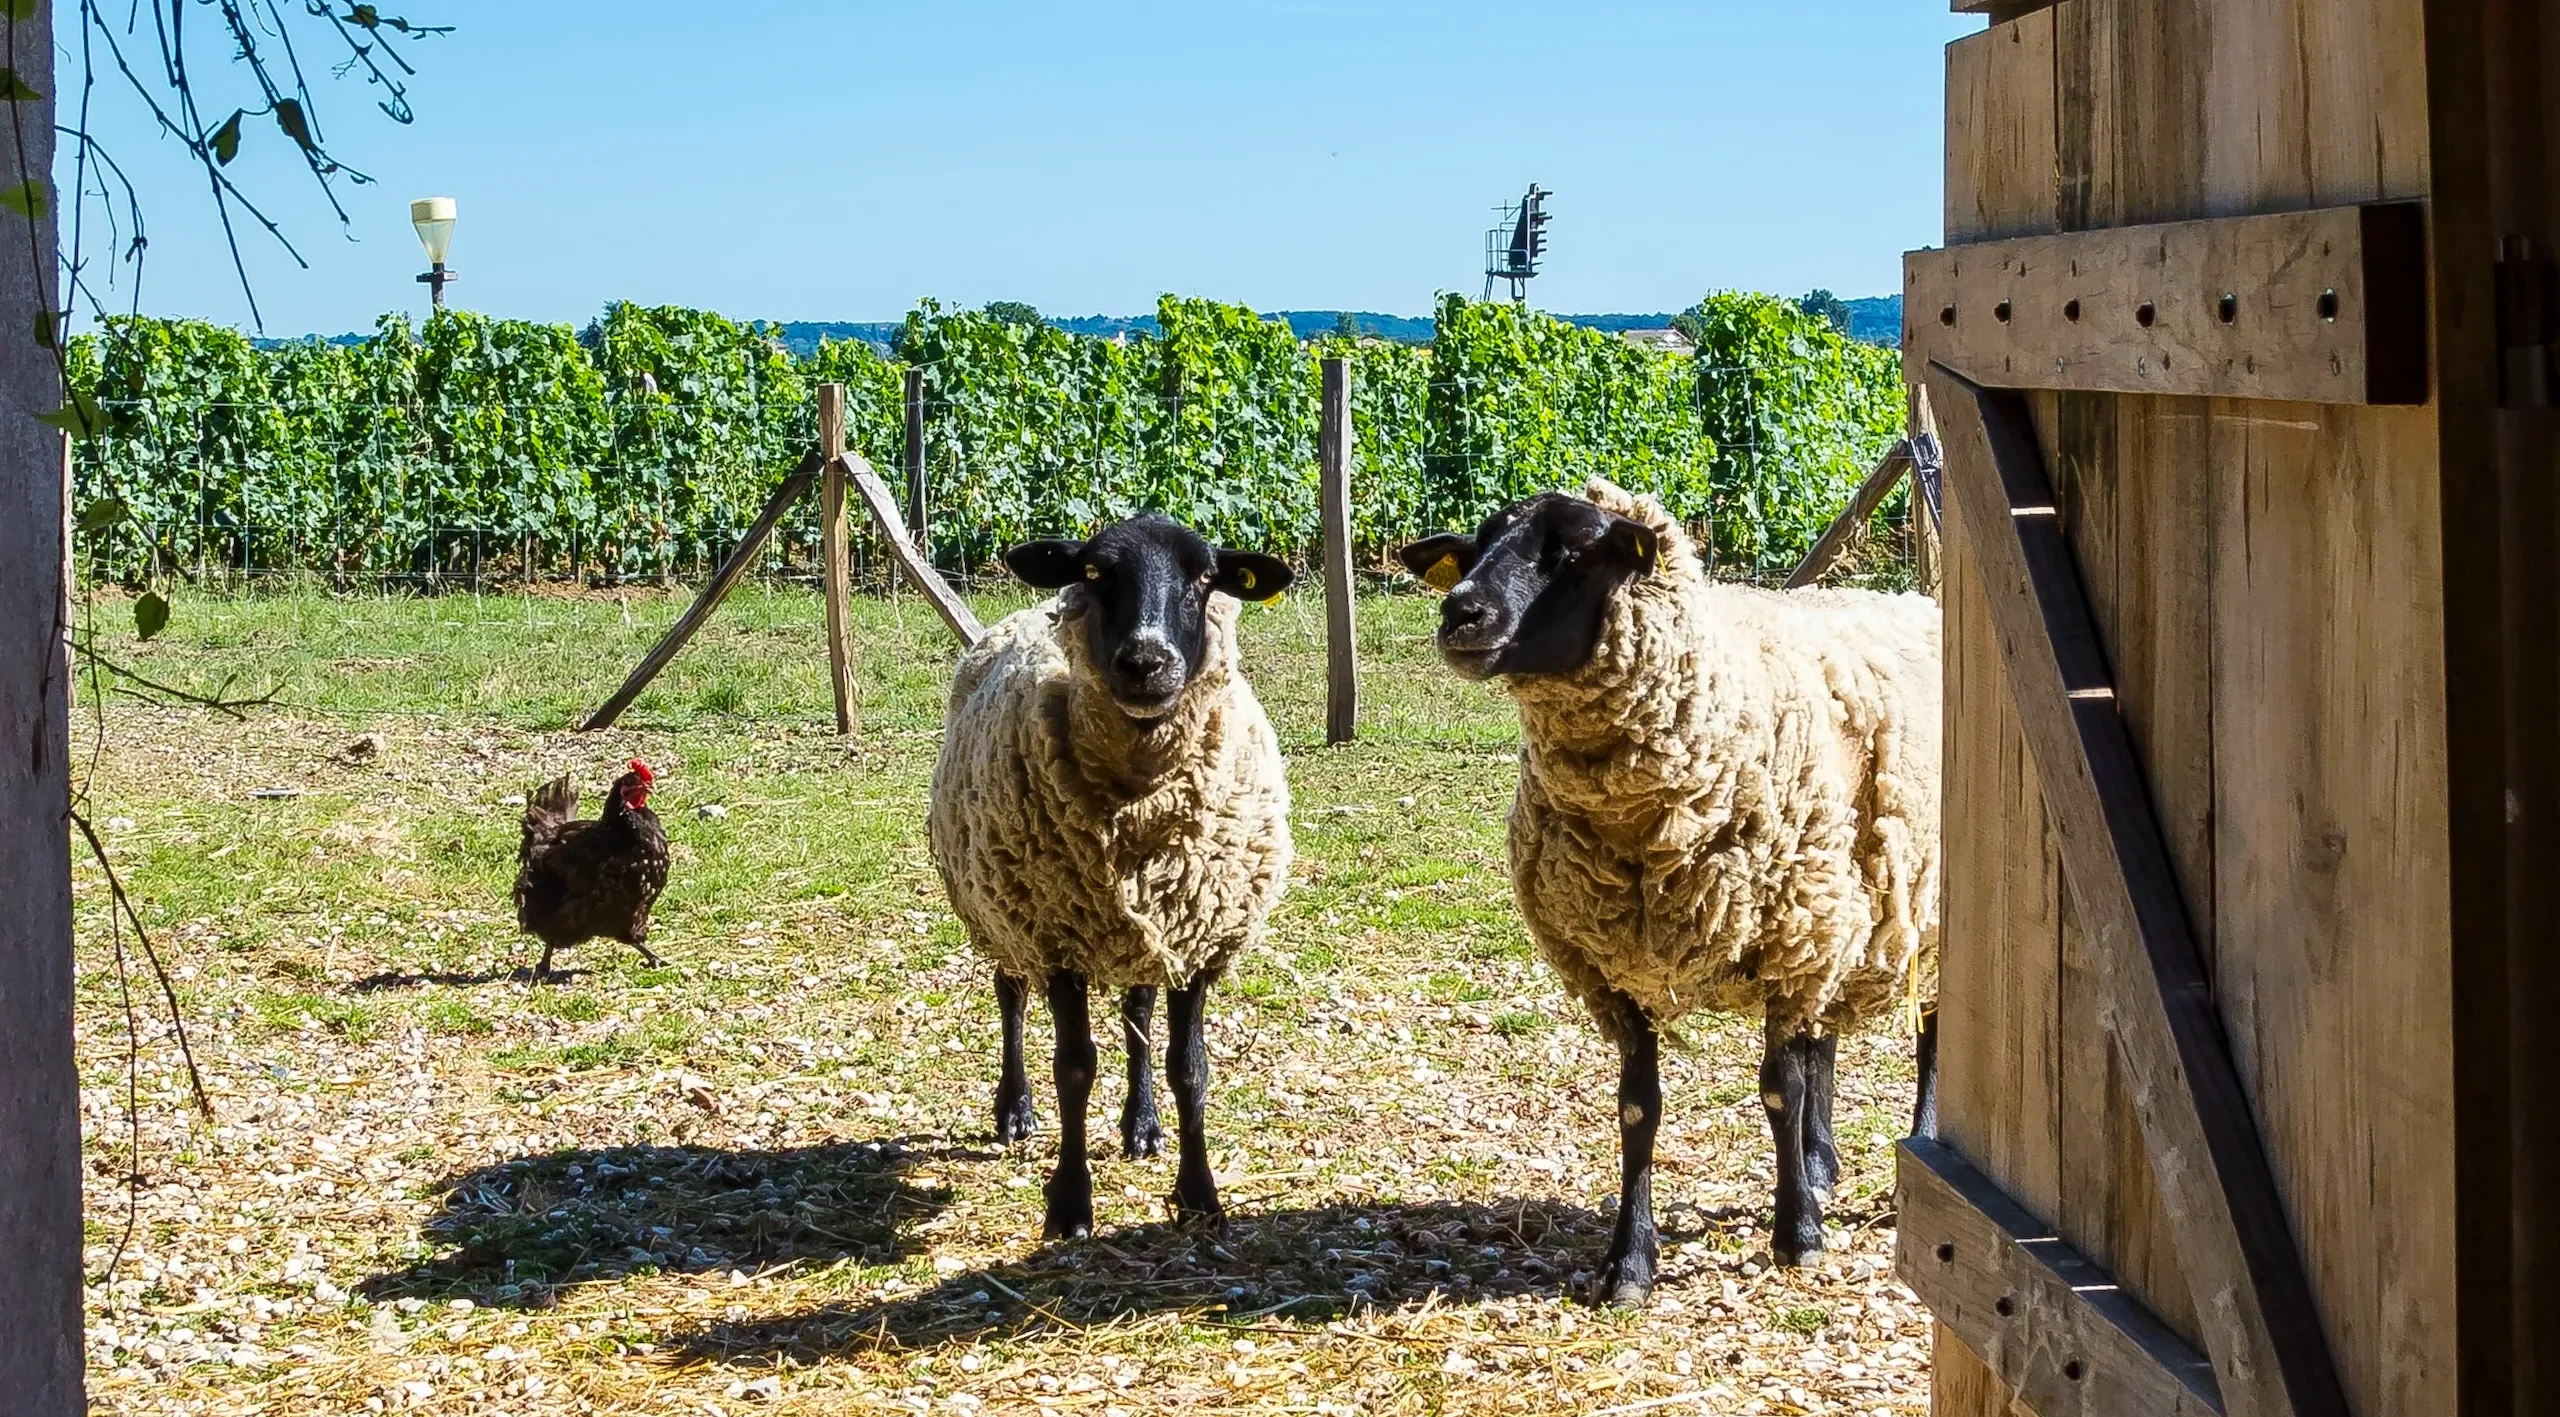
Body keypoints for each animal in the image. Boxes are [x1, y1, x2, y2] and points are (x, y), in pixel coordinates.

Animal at [928, 513, 1296, 1239]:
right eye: (1095, 572)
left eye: (1205, 576)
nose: (1145, 662)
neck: (1142, 798)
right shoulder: (1055, 936)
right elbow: (1074, 1068)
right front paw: (1071, 1203)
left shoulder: (1197, 938)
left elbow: (1190, 1068)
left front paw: (1199, 1192)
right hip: (998, 903)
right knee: (1010, 994)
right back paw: (1013, 1110)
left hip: (1141, 925)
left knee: (1137, 1011)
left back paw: (1141, 1124)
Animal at [1398, 477, 1940, 1304]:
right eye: (1479, 542)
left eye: (1578, 551)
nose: (1460, 611)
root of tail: (1916, 599)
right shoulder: (1615, 965)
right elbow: (1638, 1109)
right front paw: (1629, 1261)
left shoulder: (1784, 941)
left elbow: (1779, 1089)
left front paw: (1798, 1236)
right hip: (1837, 908)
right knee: (1824, 1035)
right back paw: (1819, 1164)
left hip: (1922, 912)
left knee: (1929, 1036)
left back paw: (1911, 1144)